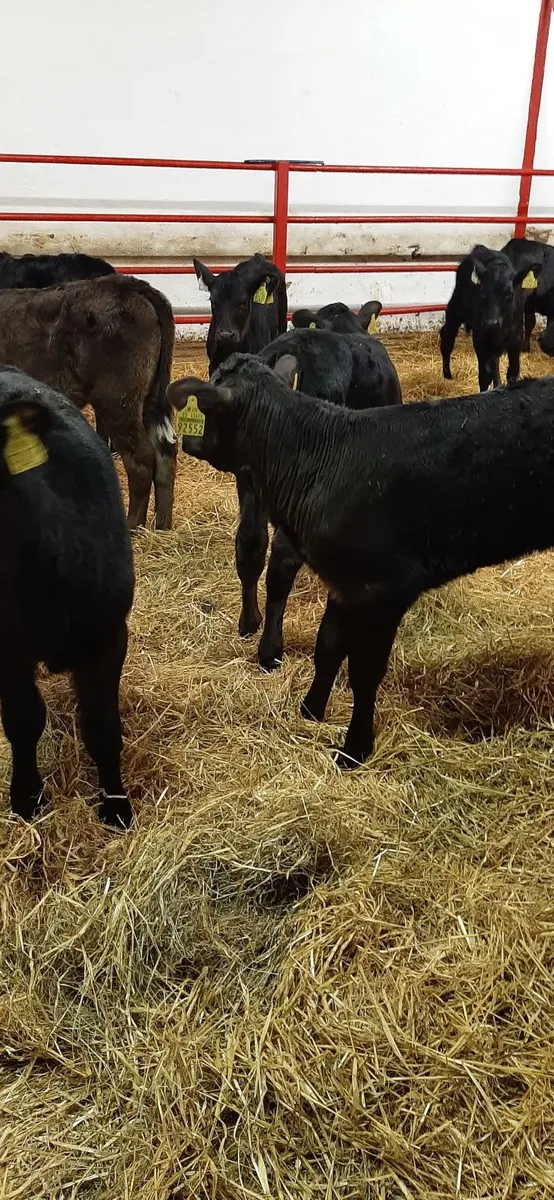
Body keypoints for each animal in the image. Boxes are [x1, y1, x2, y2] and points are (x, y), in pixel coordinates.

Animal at [0, 275, 177, 529]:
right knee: (165, 454)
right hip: (148, 400)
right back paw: (162, 525)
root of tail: (127, 283)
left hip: (116, 401)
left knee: (141, 457)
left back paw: (133, 524)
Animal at [0, 366, 134, 826]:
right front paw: (26, 797)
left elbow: (102, 726)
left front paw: (116, 807)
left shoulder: (108, 638)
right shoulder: (8, 652)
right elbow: (23, 720)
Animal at [440, 244, 543, 391]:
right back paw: (447, 375)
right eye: (482, 292)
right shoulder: (480, 341)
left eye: (509, 294)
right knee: (447, 338)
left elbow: (512, 372)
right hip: (455, 309)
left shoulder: (515, 343)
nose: (490, 323)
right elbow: (484, 376)